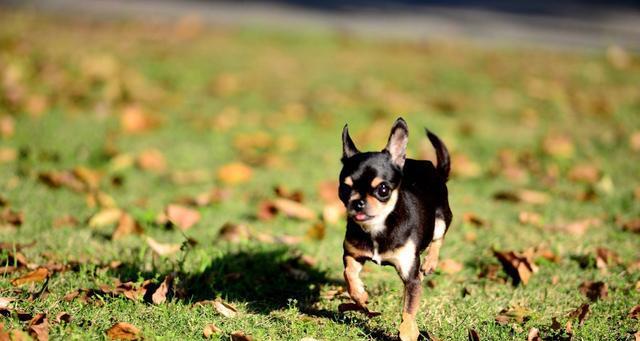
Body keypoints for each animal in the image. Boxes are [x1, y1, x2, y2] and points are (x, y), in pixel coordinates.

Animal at [338, 117, 452, 340]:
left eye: (383, 190)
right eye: (345, 188)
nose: (358, 202)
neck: (377, 227)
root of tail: (434, 169)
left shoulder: (411, 279)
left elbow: (408, 311)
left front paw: (407, 333)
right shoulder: (353, 254)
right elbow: (349, 274)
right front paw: (360, 295)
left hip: (442, 219)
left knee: (438, 238)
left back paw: (430, 263)